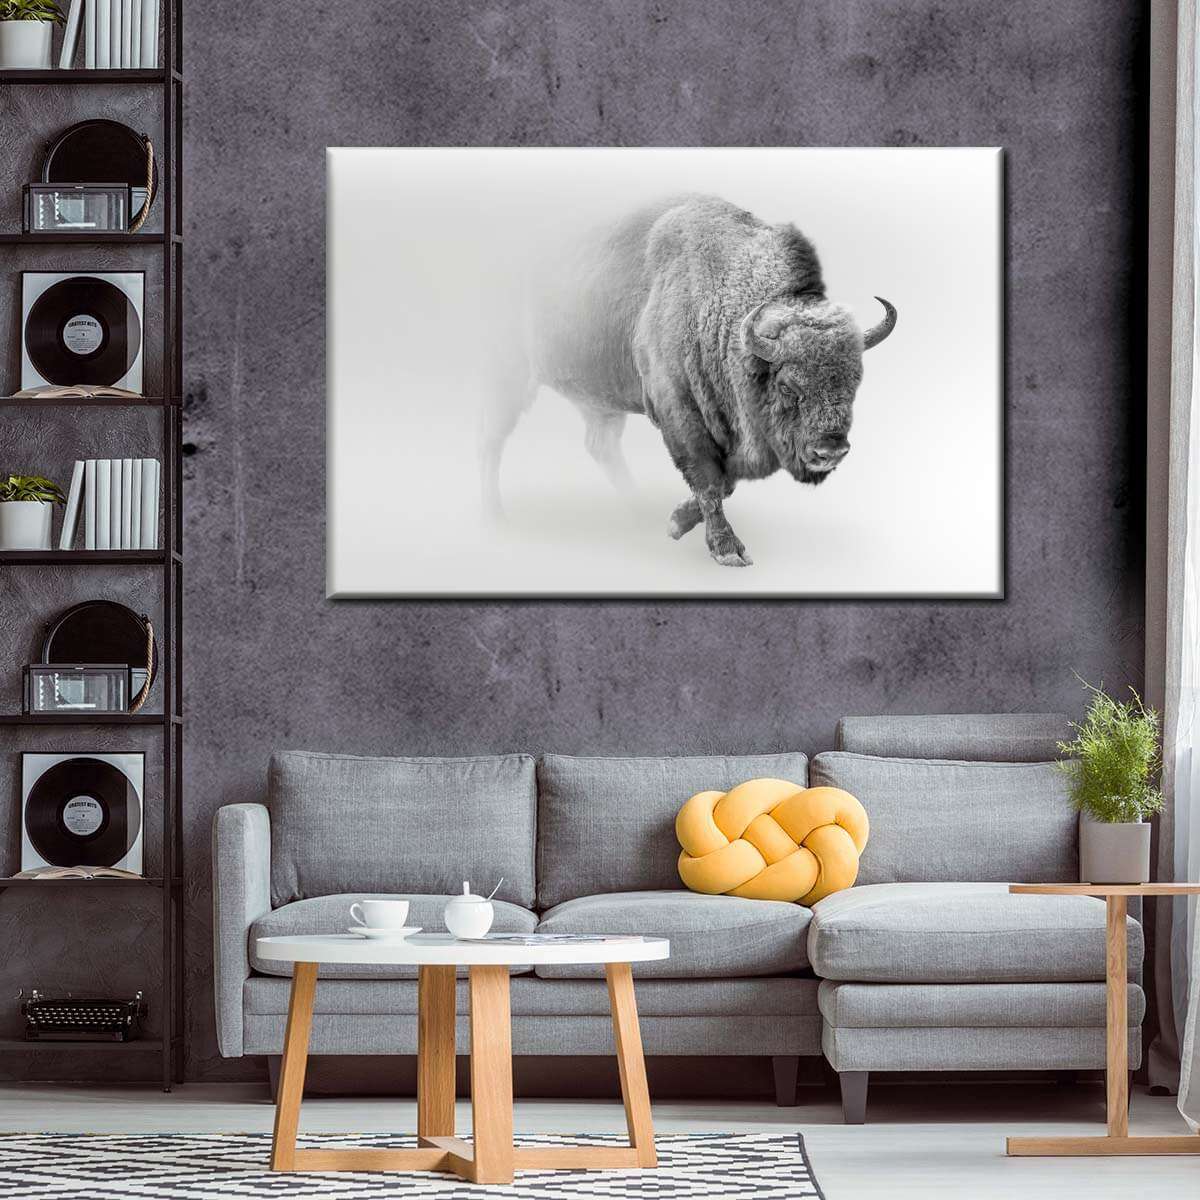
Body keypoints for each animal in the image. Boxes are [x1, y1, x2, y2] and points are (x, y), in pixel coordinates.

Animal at [481, 194, 897, 567]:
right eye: (786, 386)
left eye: (854, 382)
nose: (831, 451)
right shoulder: (678, 413)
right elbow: (709, 479)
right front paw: (727, 550)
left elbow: (725, 482)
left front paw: (675, 522)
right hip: (509, 376)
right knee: (492, 440)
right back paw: (495, 518)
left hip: (598, 401)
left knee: (600, 446)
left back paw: (639, 510)